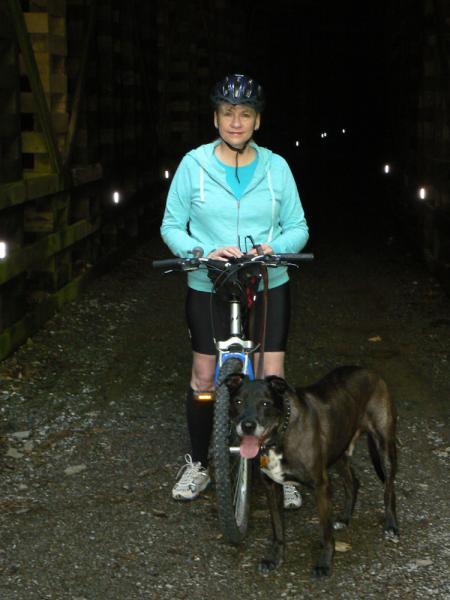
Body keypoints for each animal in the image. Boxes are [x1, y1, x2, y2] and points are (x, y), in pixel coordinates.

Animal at [223, 366, 400, 576]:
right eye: (238, 402)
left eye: (266, 403)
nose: (248, 426)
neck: (281, 434)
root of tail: (369, 371)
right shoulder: (271, 487)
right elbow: (278, 529)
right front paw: (275, 558)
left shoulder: (321, 486)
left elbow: (325, 533)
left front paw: (324, 563)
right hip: (338, 451)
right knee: (353, 482)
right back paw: (345, 518)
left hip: (384, 446)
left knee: (389, 489)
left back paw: (391, 525)